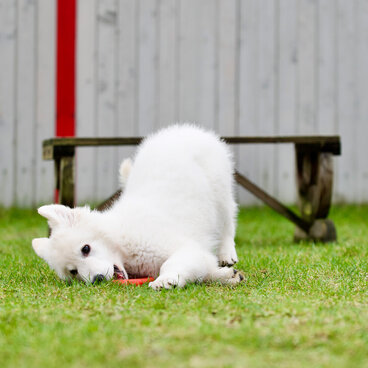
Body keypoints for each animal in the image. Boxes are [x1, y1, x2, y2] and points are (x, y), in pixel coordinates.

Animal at [32, 125, 244, 288]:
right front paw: (227, 276)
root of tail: (184, 129)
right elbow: (204, 269)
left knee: (228, 223)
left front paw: (166, 280)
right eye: (73, 271)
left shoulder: (186, 247)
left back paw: (227, 254)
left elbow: (173, 263)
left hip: (221, 191)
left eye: (86, 249)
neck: (121, 239)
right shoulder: (198, 255)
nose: (97, 279)